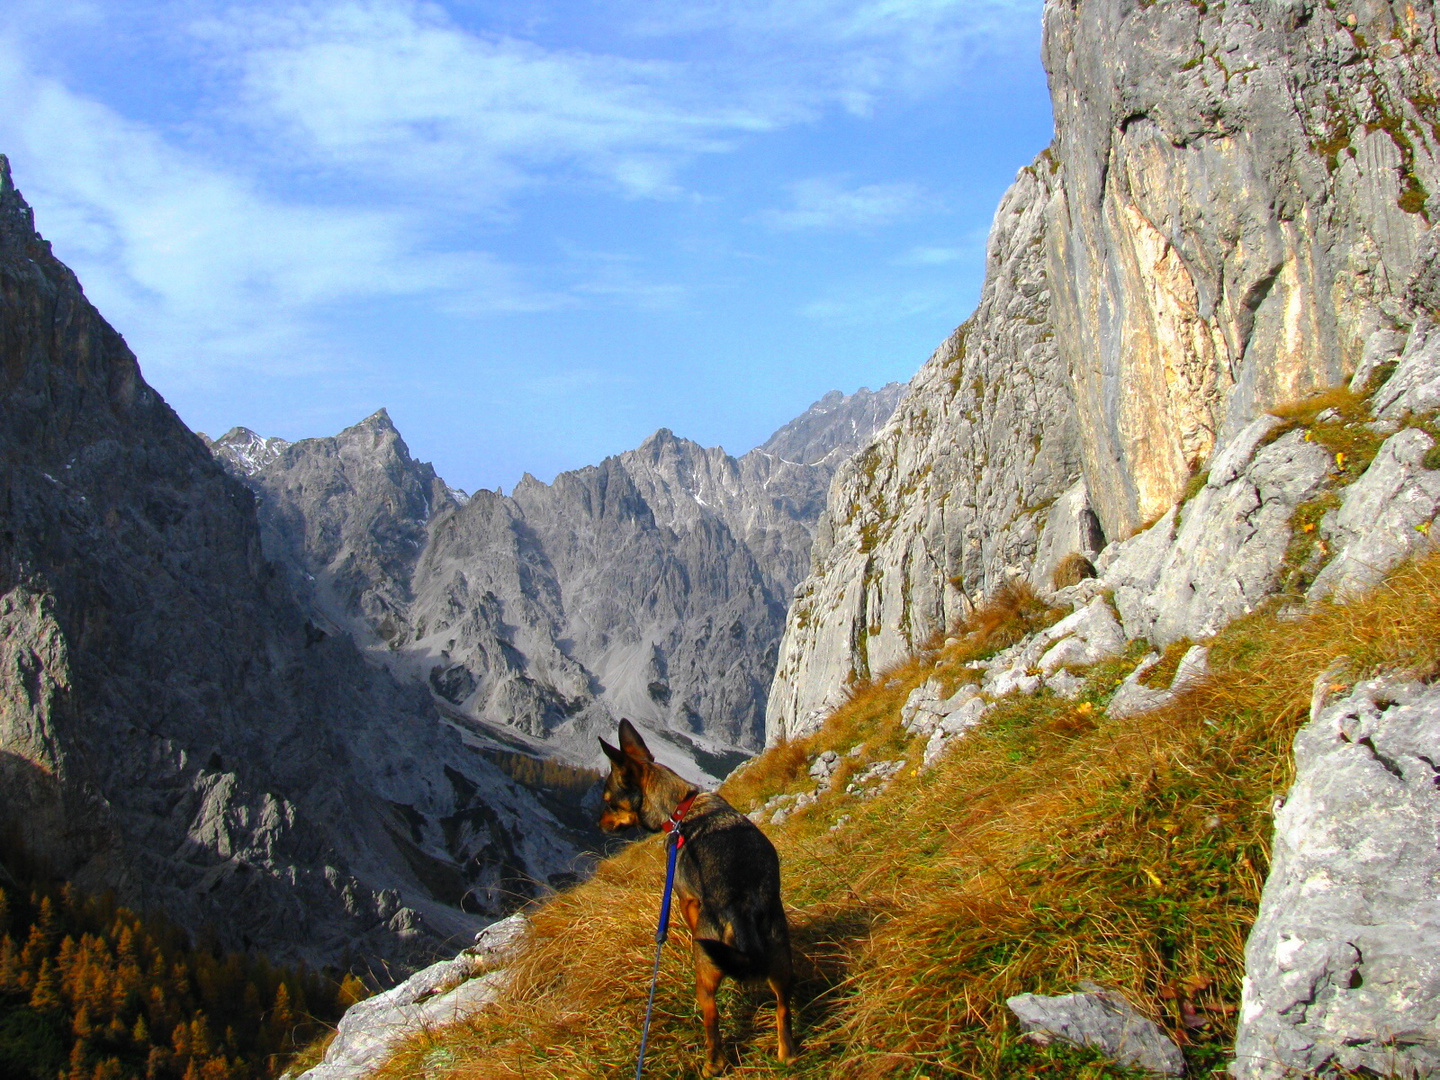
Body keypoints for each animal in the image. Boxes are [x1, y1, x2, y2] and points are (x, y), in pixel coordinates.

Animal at [596, 720, 800, 1077]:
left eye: (610, 801)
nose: (598, 824)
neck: (680, 807)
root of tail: (741, 908)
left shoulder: (685, 898)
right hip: (779, 955)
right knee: (782, 1007)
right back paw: (785, 1053)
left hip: (705, 969)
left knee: (711, 1017)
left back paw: (712, 1063)